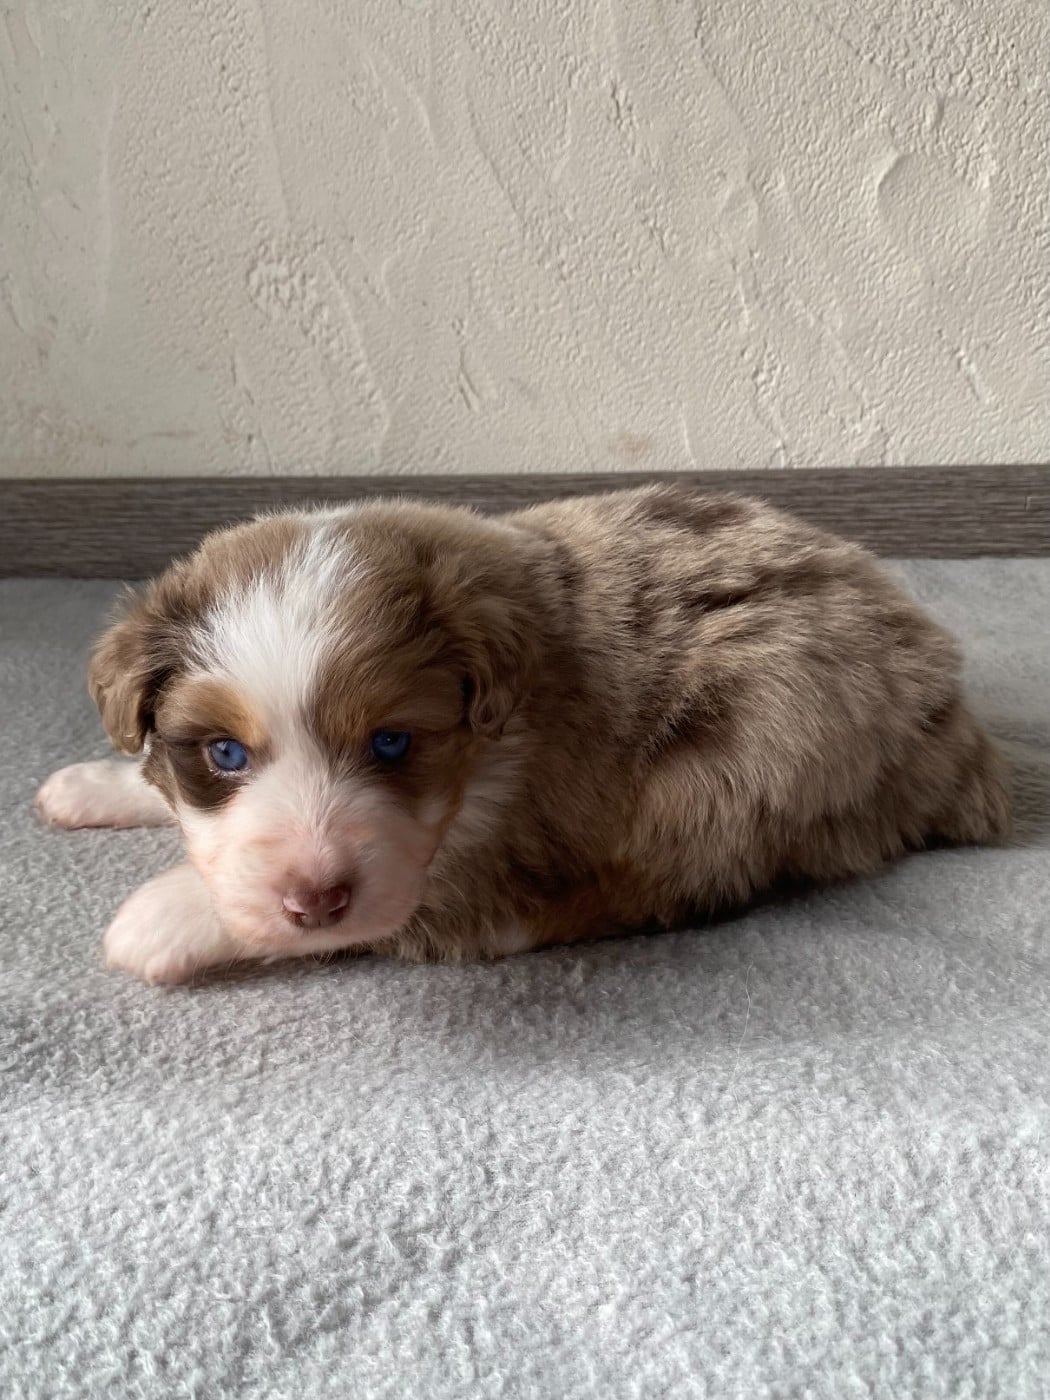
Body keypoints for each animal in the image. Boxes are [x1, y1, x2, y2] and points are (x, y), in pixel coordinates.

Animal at [36, 486, 1011, 984]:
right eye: (225, 753)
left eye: (392, 743)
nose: (314, 897)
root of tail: (952, 722)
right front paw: (93, 784)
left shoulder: (491, 844)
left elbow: (406, 907)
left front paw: (165, 917)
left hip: (732, 761)